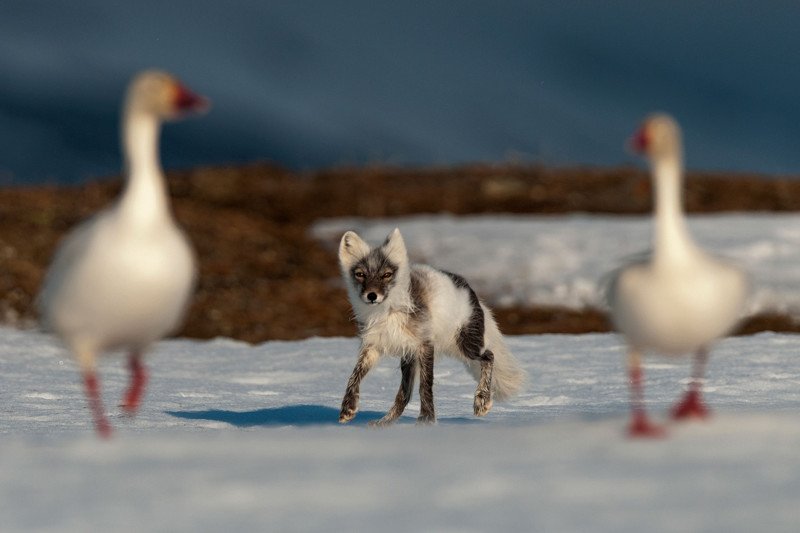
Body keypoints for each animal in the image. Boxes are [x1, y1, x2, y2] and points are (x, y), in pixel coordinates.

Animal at [338, 228, 524, 424]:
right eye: (360, 274)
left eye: (386, 275)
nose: (372, 295)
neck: (386, 312)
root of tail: (468, 288)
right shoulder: (373, 345)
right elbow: (354, 377)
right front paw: (348, 407)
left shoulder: (425, 344)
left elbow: (425, 386)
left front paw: (427, 420)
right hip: (410, 358)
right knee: (404, 395)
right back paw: (384, 423)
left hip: (465, 346)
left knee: (489, 356)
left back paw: (481, 400)